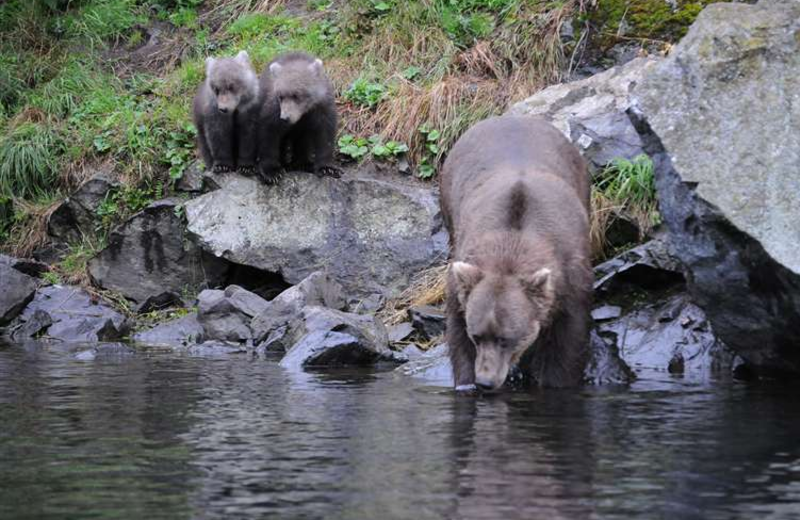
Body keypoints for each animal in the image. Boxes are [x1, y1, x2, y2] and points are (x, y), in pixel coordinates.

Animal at [440, 115, 592, 390]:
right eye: (477, 336)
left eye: (505, 338)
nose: (485, 381)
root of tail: (513, 117)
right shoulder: (462, 276)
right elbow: (457, 331)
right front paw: (466, 383)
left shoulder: (570, 280)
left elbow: (568, 342)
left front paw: (555, 380)